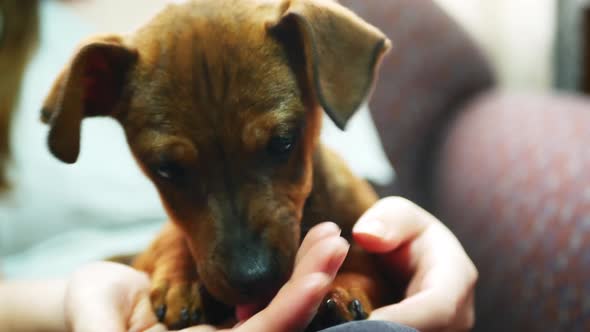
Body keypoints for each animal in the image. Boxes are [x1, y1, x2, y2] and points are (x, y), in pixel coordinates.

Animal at [40, 0, 394, 330]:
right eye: (166, 168)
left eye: (283, 142)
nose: (254, 279)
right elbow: (174, 237)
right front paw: (179, 279)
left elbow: (366, 273)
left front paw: (342, 289)